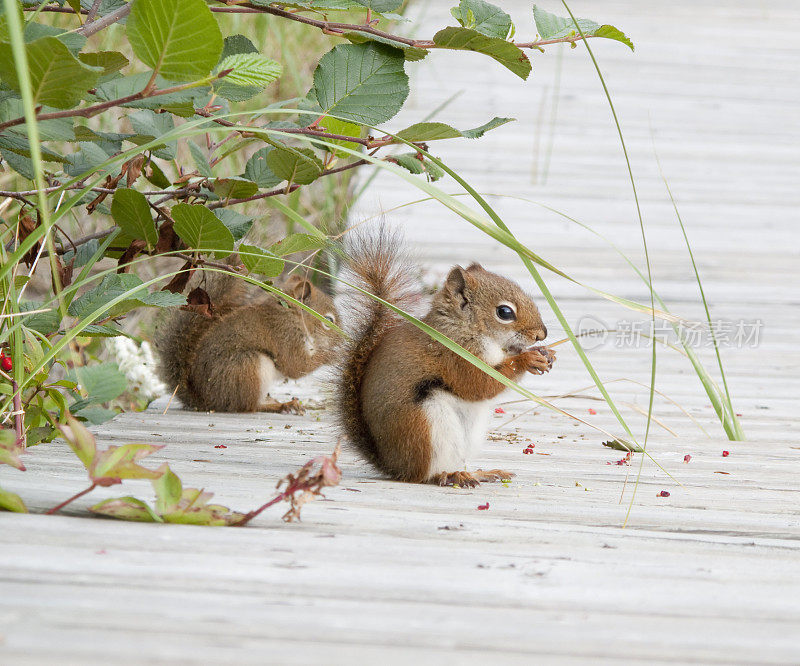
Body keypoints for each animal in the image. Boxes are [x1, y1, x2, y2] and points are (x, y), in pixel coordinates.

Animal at [334, 231, 552, 486]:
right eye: (504, 312)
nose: (541, 334)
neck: (465, 329)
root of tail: (394, 466)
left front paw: (546, 354)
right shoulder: (455, 357)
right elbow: (479, 385)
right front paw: (528, 359)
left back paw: (481, 473)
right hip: (424, 427)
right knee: (424, 475)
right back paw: (450, 475)